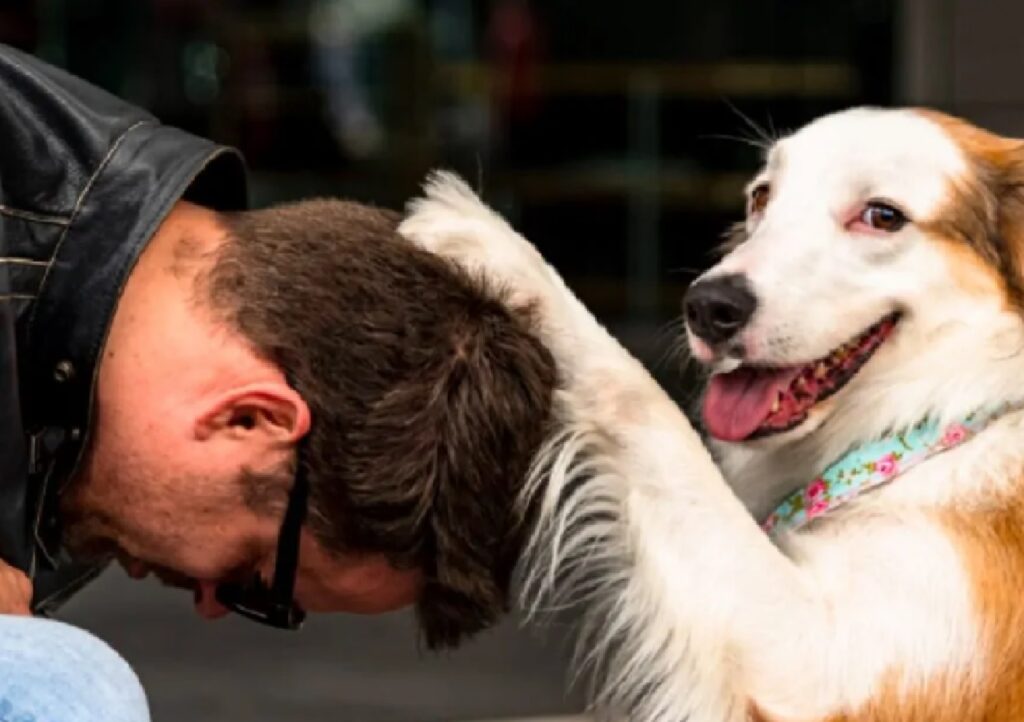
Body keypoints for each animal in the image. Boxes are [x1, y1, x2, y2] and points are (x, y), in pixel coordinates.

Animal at [397, 104, 1024, 716]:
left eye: (883, 216)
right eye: (761, 197)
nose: (707, 306)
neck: (947, 411)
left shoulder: (821, 666)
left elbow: (646, 404)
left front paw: (501, 252)